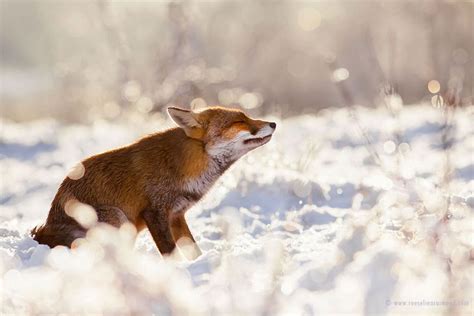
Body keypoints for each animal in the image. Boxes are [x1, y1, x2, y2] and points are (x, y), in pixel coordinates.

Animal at [32, 106, 274, 260]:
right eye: (240, 121)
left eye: (247, 116)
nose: (273, 123)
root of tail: (43, 234)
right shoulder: (155, 212)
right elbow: (170, 252)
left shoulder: (176, 214)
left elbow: (193, 250)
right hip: (119, 219)